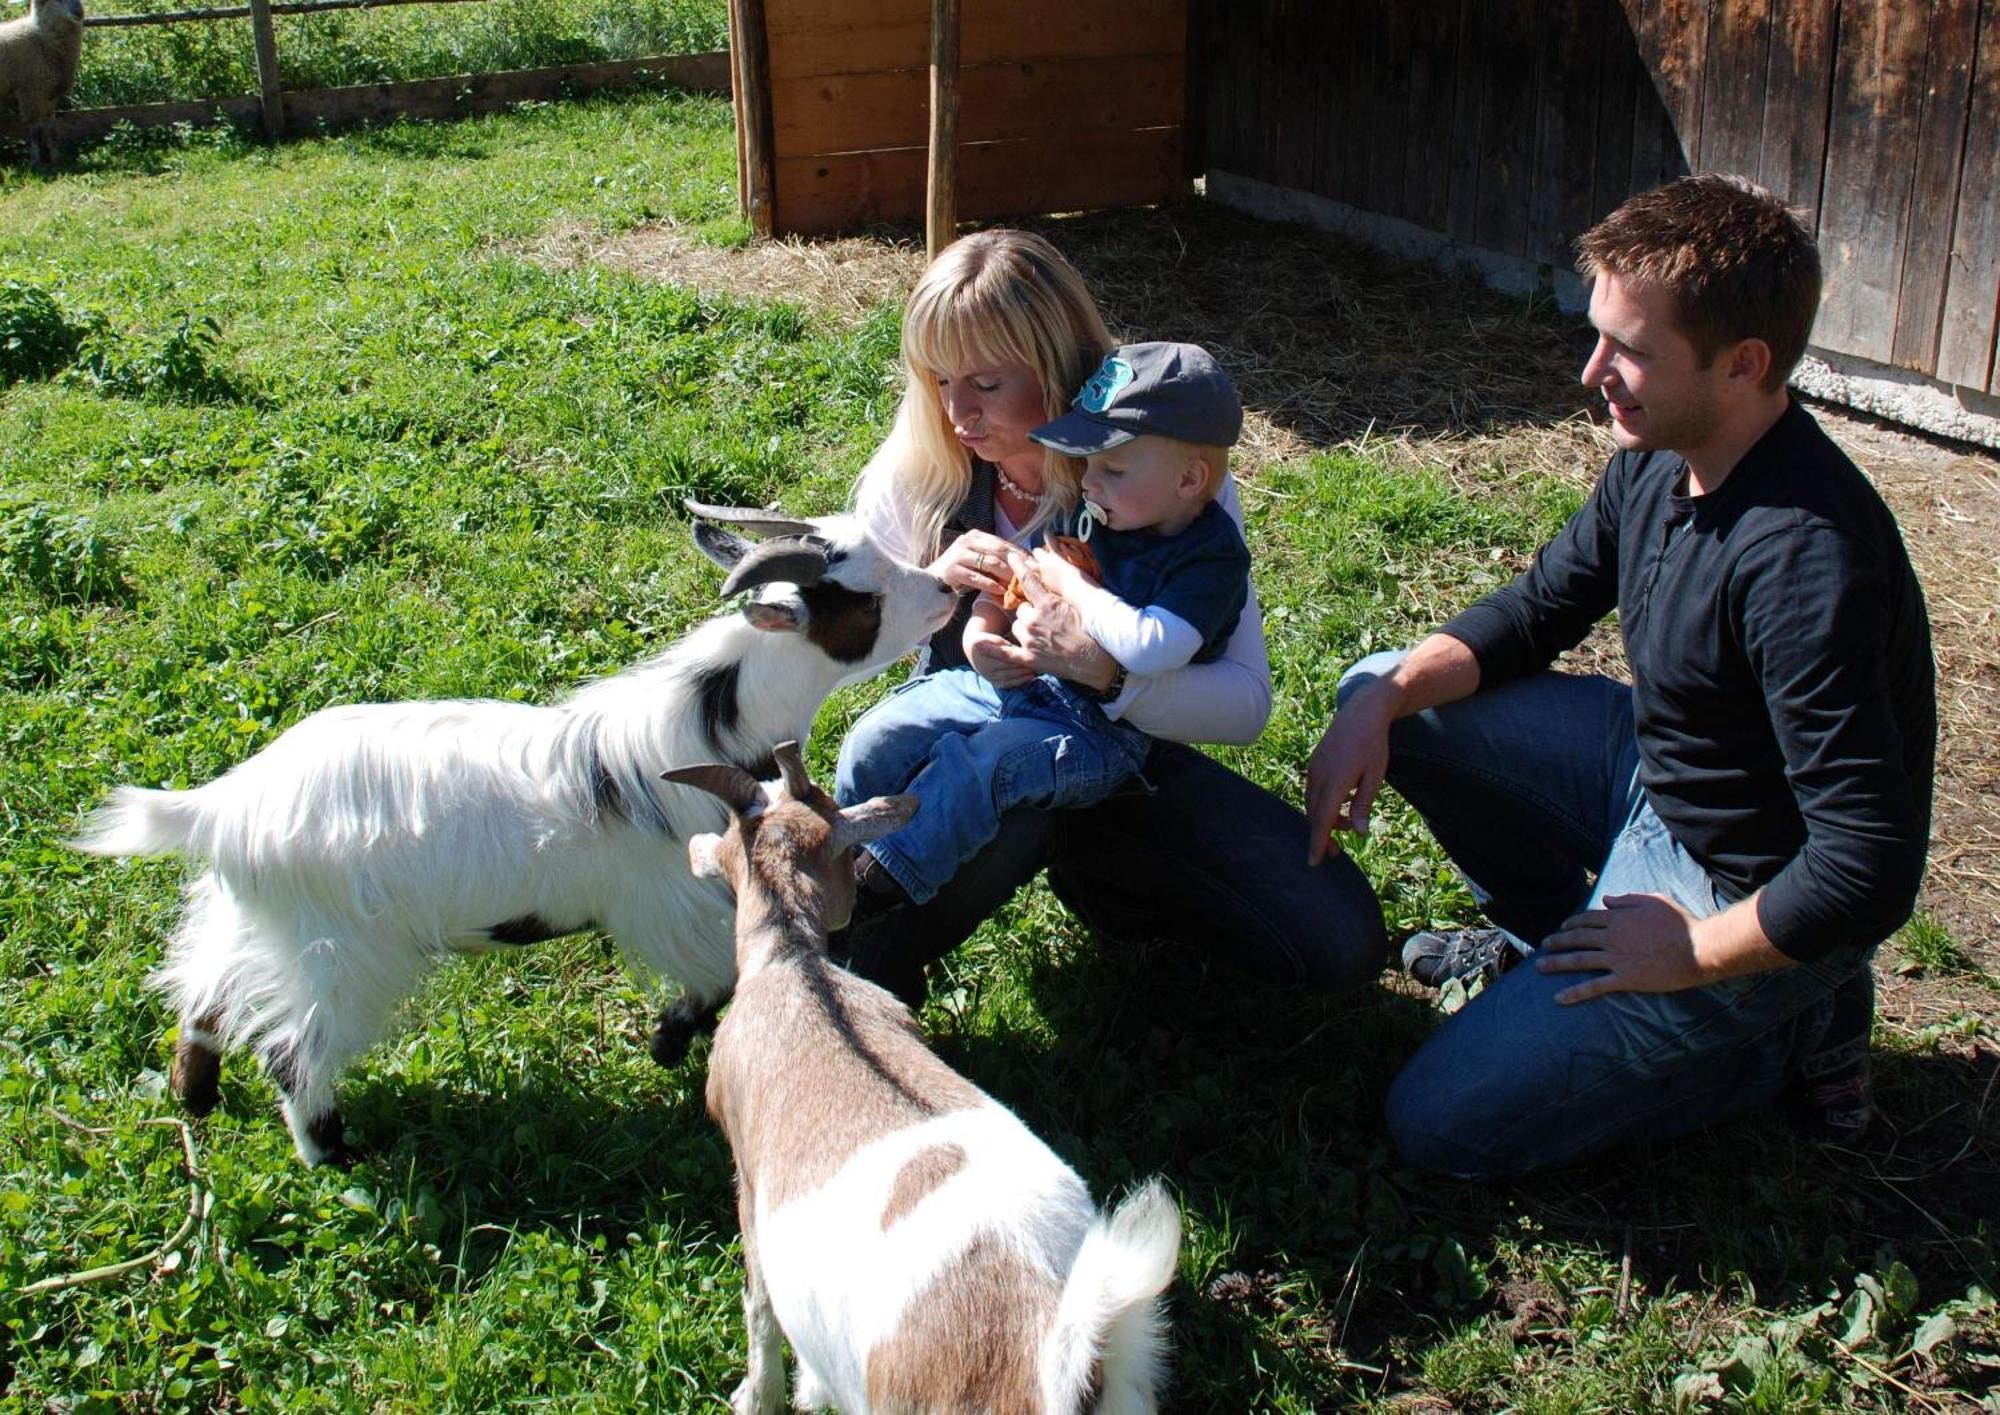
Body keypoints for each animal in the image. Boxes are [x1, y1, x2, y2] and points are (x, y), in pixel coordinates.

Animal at [0, 0, 84, 168]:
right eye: (58, 1)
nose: (79, 12)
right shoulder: (31, 92)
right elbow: (34, 130)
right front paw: (36, 160)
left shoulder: (49, 95)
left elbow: (50, 129)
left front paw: (56, 158)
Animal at [66, 503, 956, 1167]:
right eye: (863, 595)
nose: (947, 588)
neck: (709, 719)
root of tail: (221, 809)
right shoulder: (672, 904)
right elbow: (712, 983)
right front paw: (667, 1044)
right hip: (334, 954)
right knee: (294, 1051)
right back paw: (334, 1153)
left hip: (253, 923)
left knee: (202, 997)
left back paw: (195, 1097)